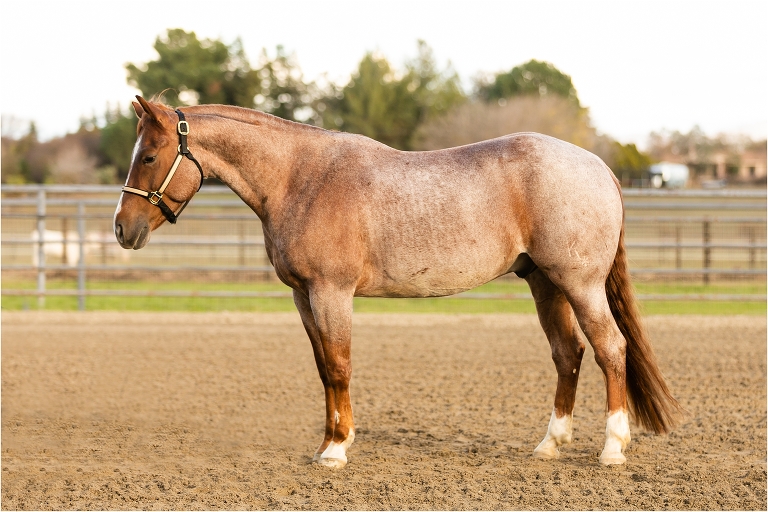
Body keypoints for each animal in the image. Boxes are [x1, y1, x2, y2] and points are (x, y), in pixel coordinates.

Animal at [114, 96, 682, 468]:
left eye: (148, 156)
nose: (123, 229)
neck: (301, 178)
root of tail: (600, 168)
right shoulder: (303, 297)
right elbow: (323, 369)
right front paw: (327, 443)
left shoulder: (331, 293)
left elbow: (339, 366)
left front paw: (336, 451)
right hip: (544, 283)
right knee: (568, 353)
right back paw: (549, 445)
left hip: (579, 284)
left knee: (610, 348)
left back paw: (612, 449)